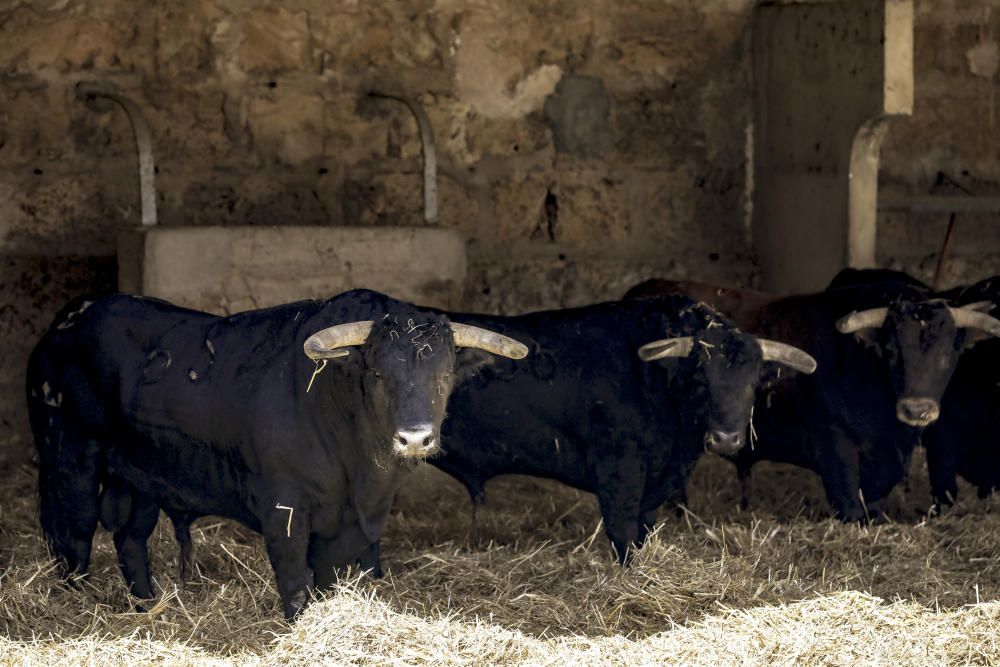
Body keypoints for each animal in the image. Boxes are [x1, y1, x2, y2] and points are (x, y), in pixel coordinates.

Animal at [27, 290, 528, 620]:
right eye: (377, 373)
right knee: (74, 540)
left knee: (130, 538)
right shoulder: (284, 509)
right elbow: (294, 581)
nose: (415, 439)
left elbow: (328, 579)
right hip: (70, 458)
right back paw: (76, 602)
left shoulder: (349, 522)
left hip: (142, 475)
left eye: (444, 375)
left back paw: (147, 605)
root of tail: (68, 321)